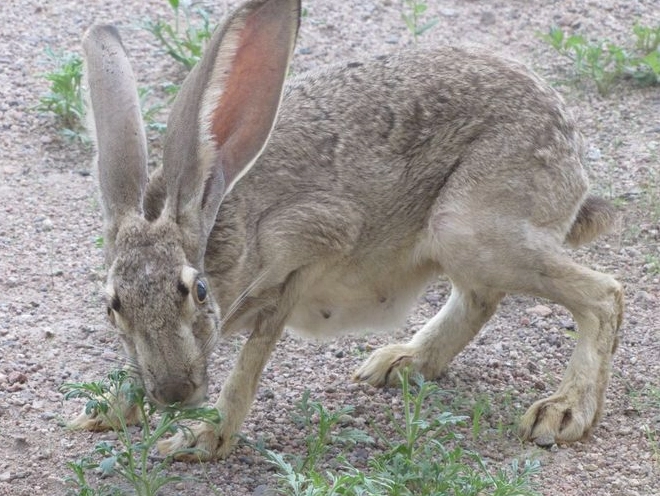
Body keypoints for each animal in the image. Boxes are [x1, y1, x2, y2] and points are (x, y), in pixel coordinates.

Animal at [74, 0, 623, 461]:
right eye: (112, 305)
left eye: (197, 290)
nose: (173, 392)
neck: (211, 214)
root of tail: (571, 152)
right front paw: (106, 411)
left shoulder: (307, 250)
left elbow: (250, 362)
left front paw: (203, 438)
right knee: (480, 298)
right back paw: (404, 361)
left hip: (468, 228)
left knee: (603, 295)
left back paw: (562, 411)